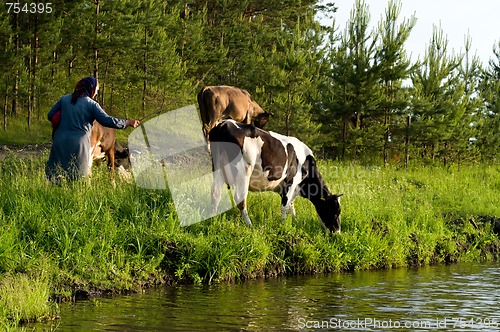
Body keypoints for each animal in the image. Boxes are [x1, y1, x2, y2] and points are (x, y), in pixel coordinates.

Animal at [208, 120, 344, 232]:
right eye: (335, 211)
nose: (337, 232)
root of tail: (224, 124)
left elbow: (291, 205)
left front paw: (294, 221)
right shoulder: (290, 182)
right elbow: (285, 205)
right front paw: (283, 224)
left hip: (217, 167)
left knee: (215, 194)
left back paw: (213, 220)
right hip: (244, 171)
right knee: (239, 199)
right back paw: (249, 224)